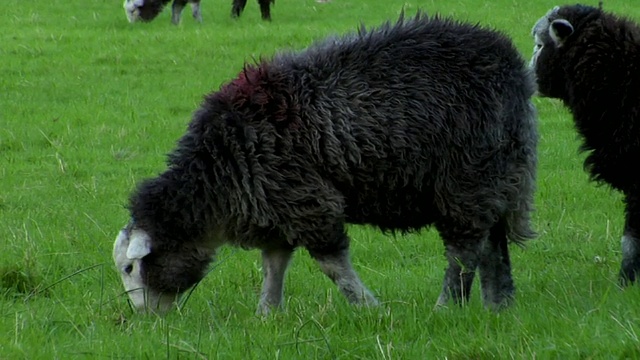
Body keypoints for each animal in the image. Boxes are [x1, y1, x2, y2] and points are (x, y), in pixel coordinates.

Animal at [112, 11, 536, 316]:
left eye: (130, 268)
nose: (145, 319)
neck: (216, 177)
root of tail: (512, 68)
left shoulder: (306, 202)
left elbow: (332, 266)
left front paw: (370, 309)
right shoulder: (275, 208)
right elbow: (273, 265)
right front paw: (267, 315)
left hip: (467, 176)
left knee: (464, 250)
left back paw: (447, 308)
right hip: (497, 174)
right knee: (492, 243)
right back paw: (499, 305)